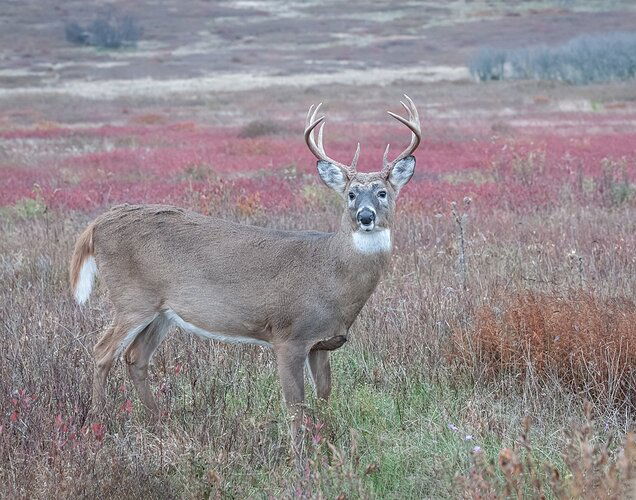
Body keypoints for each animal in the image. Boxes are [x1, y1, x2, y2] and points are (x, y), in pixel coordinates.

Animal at [69, 94, 422, 446]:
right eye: (350, 194)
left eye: (383, 193)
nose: (365, 216)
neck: (332, 276)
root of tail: (97, 224)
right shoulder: (288, 335)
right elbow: (295, 408)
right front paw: (299, 455)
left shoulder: (322, 343)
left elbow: (324, 398)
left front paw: (326, 443)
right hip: (132, 298)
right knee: (102, 353)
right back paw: (98, 424)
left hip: (162, 311)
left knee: (136, 357)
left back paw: (159, 421)